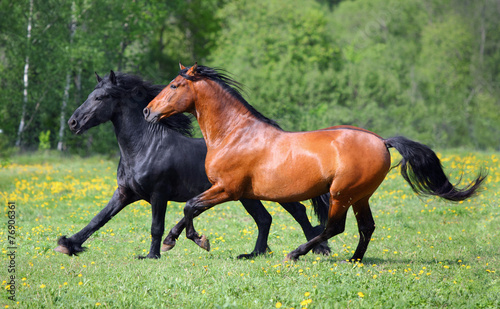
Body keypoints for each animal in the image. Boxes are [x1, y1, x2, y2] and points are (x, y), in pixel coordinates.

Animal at [55, 70, 332, 258]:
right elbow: (99, 218)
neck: (144, 147)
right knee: (265, 219)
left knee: (298, 212)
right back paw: (255, 254)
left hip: (271, 191)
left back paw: (317, 248)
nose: (73, 122)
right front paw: (67, 244)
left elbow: (156, 226)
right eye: (91, 95)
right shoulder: (125, 192)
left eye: (100, 97)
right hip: (246, 196)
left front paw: (152, 254)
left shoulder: (159, 194)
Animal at [143, 63, 486, 262]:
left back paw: (296, 253)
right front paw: (175, 240)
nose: (147, 111)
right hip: (360, 196)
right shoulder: (226, 190)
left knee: (334, 227)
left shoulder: (228, 189)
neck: (235, 134)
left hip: (341, 194)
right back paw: (354, 260)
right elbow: (190, 209)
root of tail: (382, 141)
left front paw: (198, 241)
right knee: (366, 227)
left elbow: (190, 207)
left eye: (174, 86)